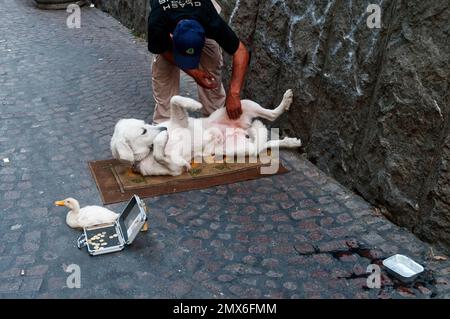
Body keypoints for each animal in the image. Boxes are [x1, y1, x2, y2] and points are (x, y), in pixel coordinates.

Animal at [111, 89, 302, 176]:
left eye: (145, 124)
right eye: (143, 131)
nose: (163, 129)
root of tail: (242, 130)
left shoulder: (180, 121)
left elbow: (174, 99)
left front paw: (194, 104)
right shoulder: (175, 169)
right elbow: (161, 156)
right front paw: (162, 141)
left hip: (242, 104)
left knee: (271, 114)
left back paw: (286, 101)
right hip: (239, 149)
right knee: (262, 145)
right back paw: (291, 142)